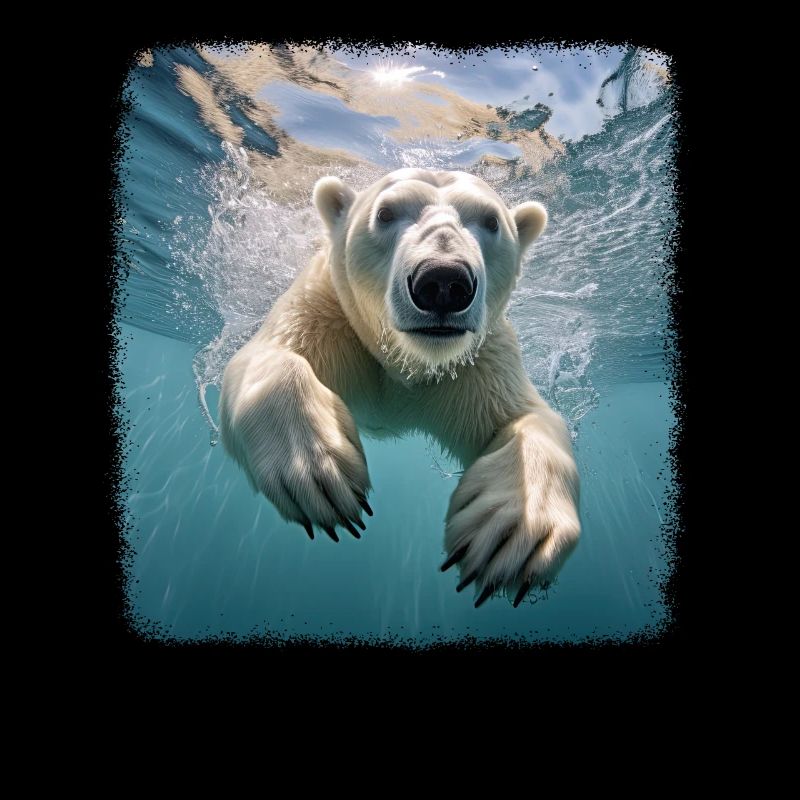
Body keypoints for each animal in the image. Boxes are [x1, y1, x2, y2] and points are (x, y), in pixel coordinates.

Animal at [219, 167, 580, 608]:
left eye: (492, 220)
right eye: (386, 213)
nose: (442, 282)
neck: (405, 362)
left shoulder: (479, 360)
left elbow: (525, 416)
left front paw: (515, 533)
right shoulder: (327, 312)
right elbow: (263, 356)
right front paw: (318, 471)